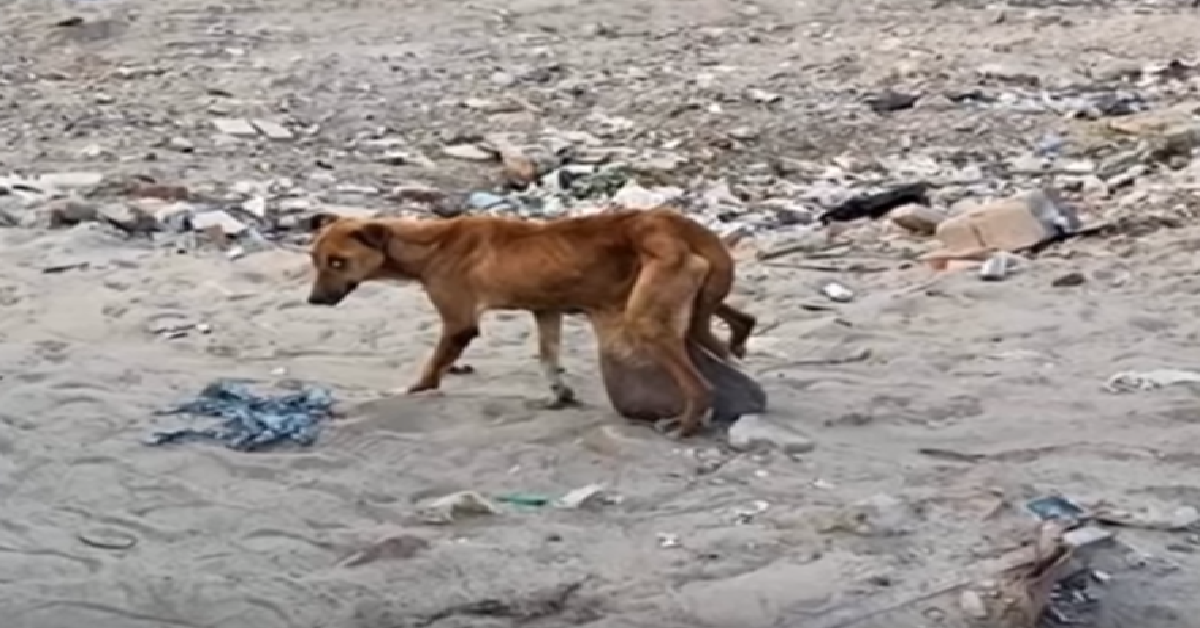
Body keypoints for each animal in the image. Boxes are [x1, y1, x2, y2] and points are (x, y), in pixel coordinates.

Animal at [307, 206, 758, 437]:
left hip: (649, 319)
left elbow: (433, 366)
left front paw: (415, 389)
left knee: (700, 385)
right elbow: (548, 356)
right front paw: (560, 394)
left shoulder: (459, 322)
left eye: (337, 261)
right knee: (734, 327)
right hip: (696, 307)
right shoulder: (547, 310)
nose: (313, 300)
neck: (429, 245)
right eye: (314, 259)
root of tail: (674, 225)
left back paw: (685, 426)